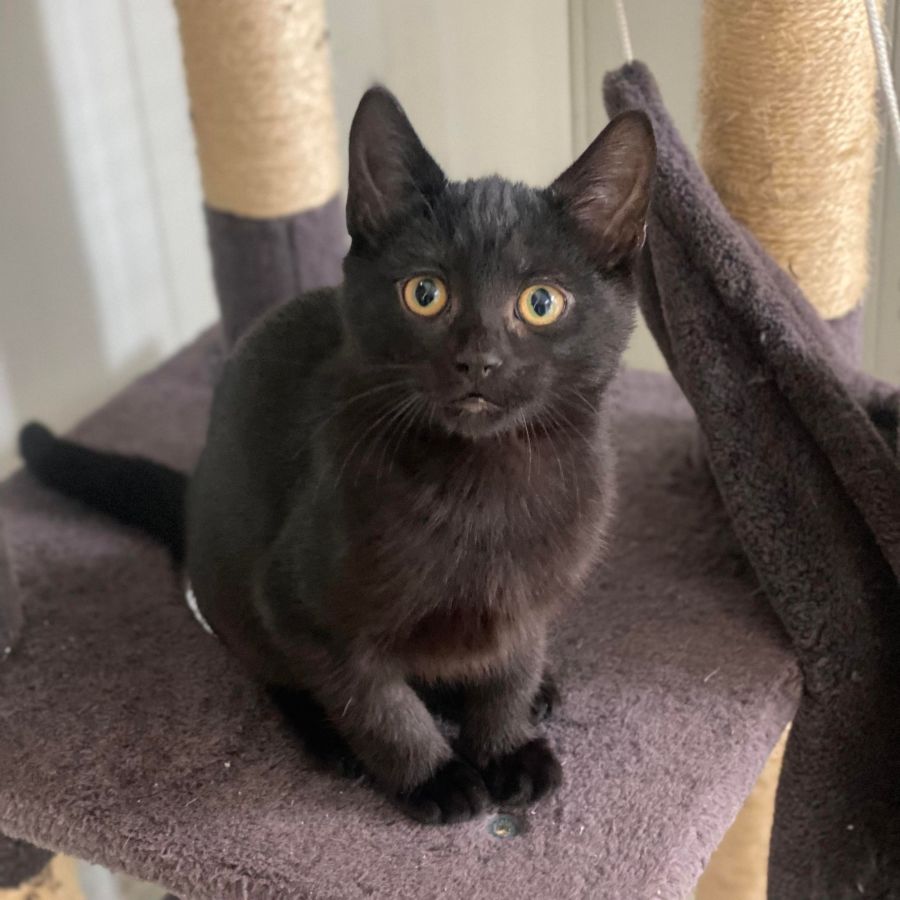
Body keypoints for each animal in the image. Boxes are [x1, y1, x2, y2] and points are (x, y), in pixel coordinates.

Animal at [20, 86, 655, 824]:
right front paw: (433, 775)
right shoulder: (298, 606)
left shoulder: (527, 604)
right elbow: (376, 703)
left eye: (543, 302)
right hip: (235, 590)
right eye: (425, 293)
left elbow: (508, 670)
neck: (486, 483)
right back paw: (332, 740)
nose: (478, 360)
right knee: (275, 674)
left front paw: (504, 745)